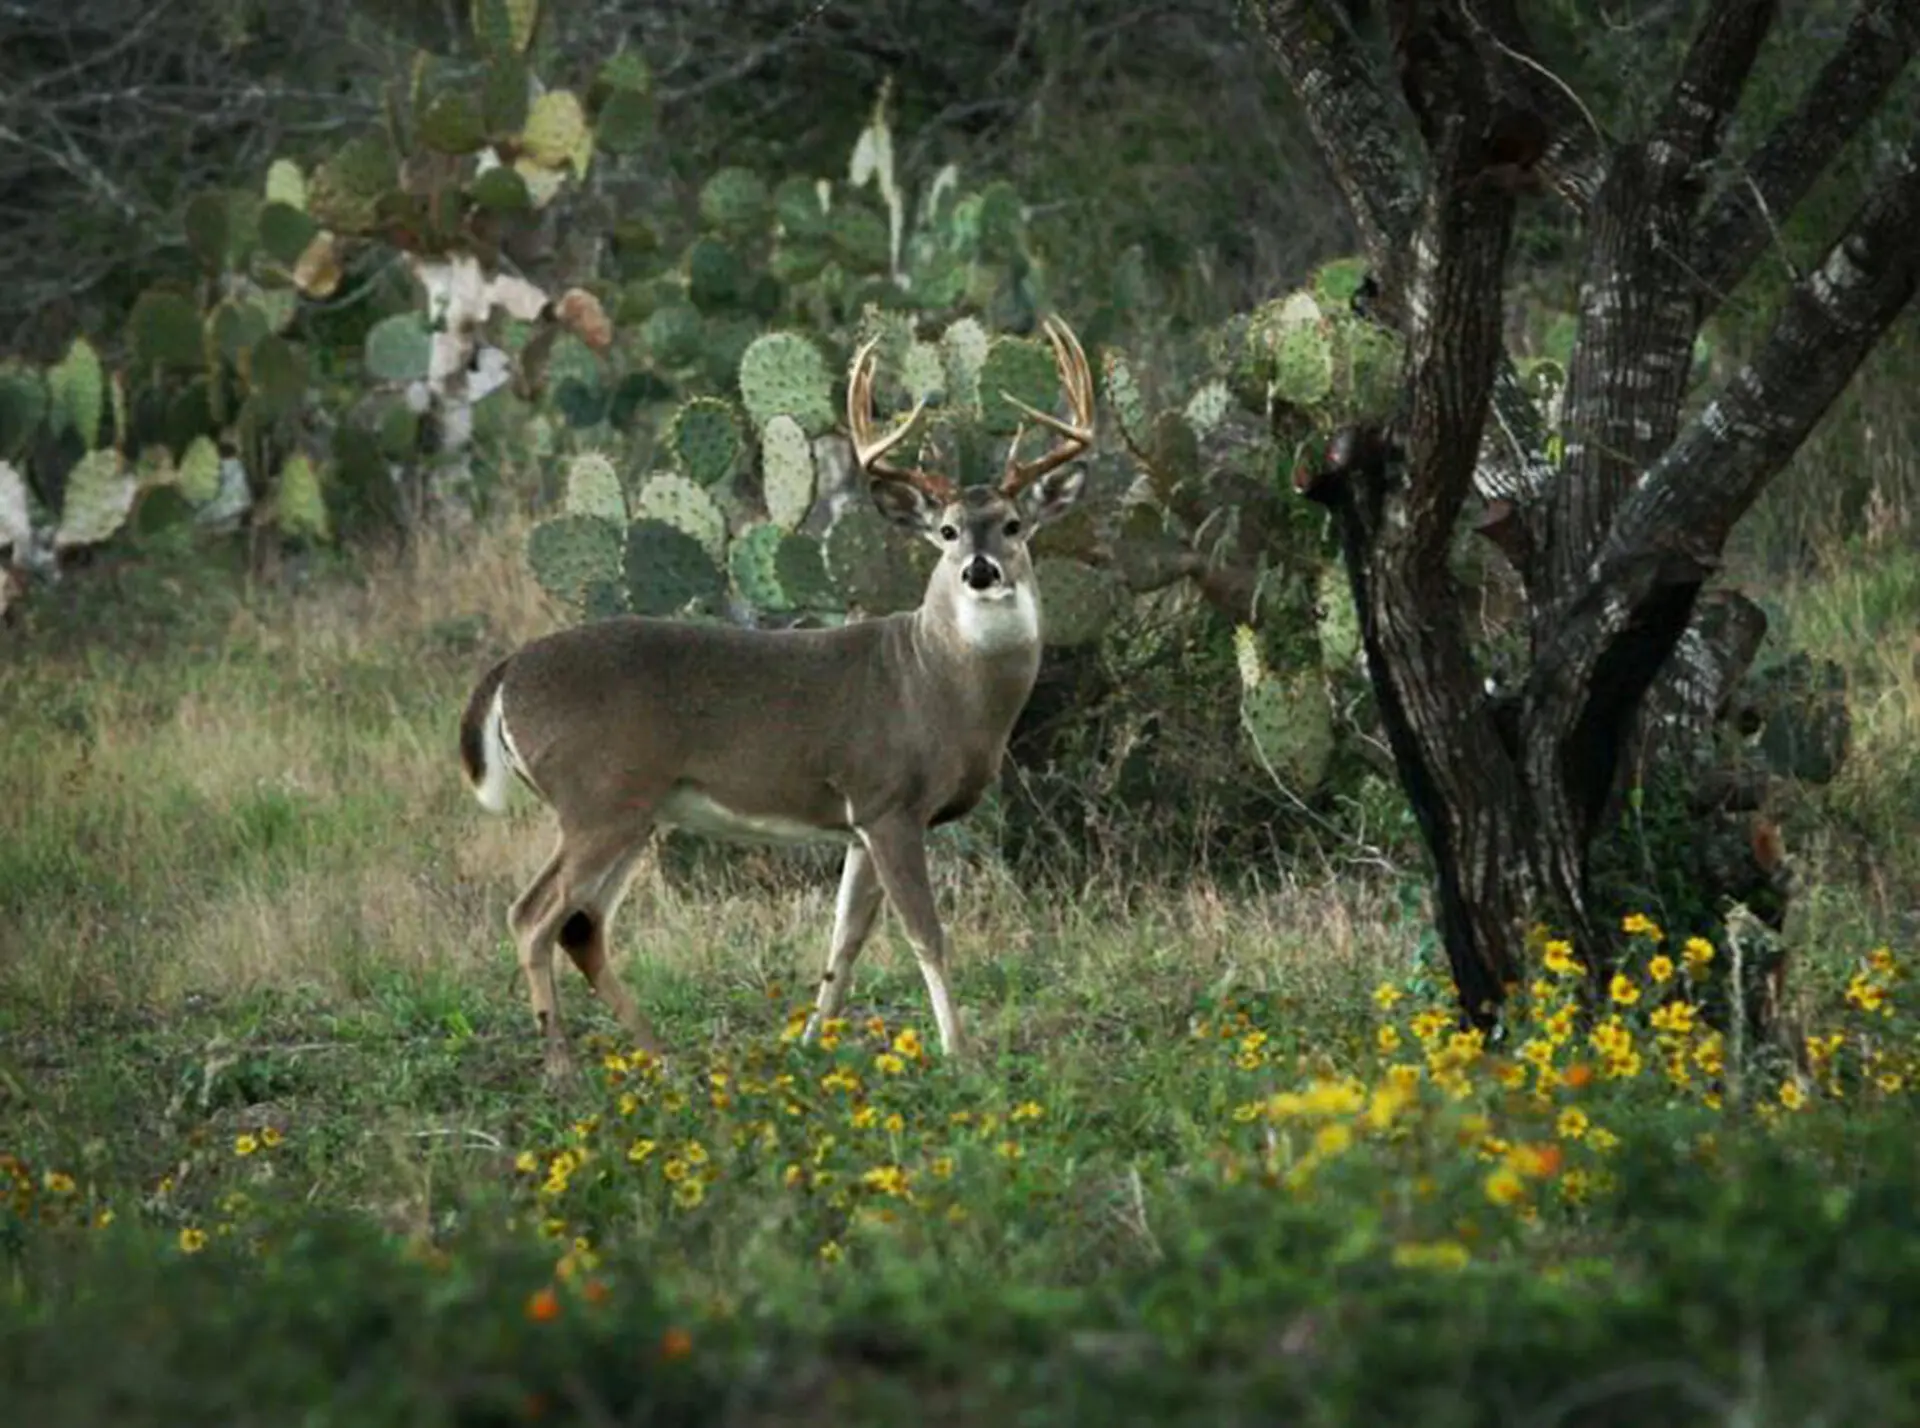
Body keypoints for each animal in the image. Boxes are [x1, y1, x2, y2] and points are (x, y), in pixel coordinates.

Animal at [451, 318, 1105, 1082]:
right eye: (945, 531)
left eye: (1012, 525)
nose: (979, 570)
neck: (940, 686)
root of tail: (505, 674)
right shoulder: (888, 800)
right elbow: (925, 935)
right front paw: (960, 1054)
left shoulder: (860, 821)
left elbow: (845, 940)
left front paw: (810, 1043)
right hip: (596, 800)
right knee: (532, 915)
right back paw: (562, 1068)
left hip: (634, 813)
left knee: (582, 927)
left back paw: (663, 1058)